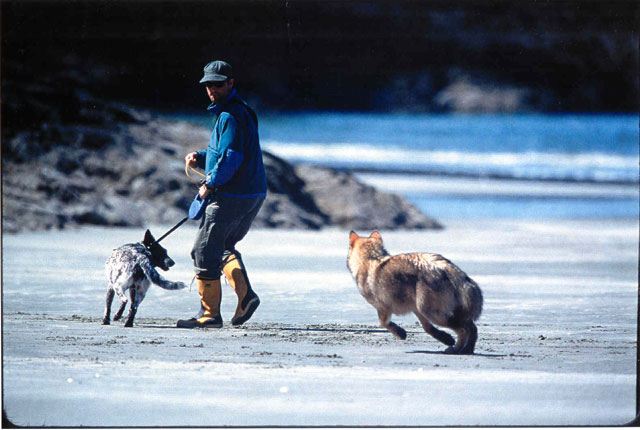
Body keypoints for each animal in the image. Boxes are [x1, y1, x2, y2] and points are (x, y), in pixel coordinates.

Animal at [347, 230, 483, 354]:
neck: (370, 258)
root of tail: (447, 268)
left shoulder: (383, 307)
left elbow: (384, 323)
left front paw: (400, 333)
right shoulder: (416, 310)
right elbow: (428, 328)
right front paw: (445, 338)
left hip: (432, 313)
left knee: (464, 330)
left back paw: (455, 349)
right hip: (437, 312)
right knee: (473, 328)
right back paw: (467, 350)